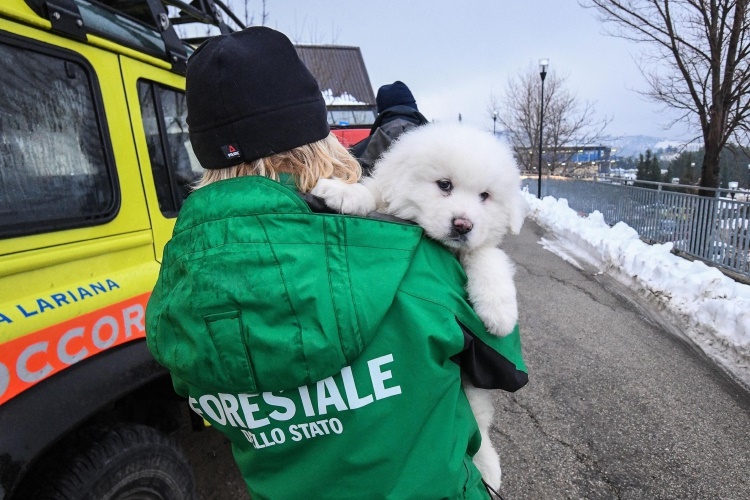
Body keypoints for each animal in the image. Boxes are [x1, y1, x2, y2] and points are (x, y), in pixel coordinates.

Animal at [314, 123, 524, 490]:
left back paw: (487, 466)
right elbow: (371, 195)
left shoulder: (480, 246)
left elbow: (487, 255)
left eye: (485, 196)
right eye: (445, 185)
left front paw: (499, 313)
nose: (463, 225)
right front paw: (341, 193)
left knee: (480, 429)